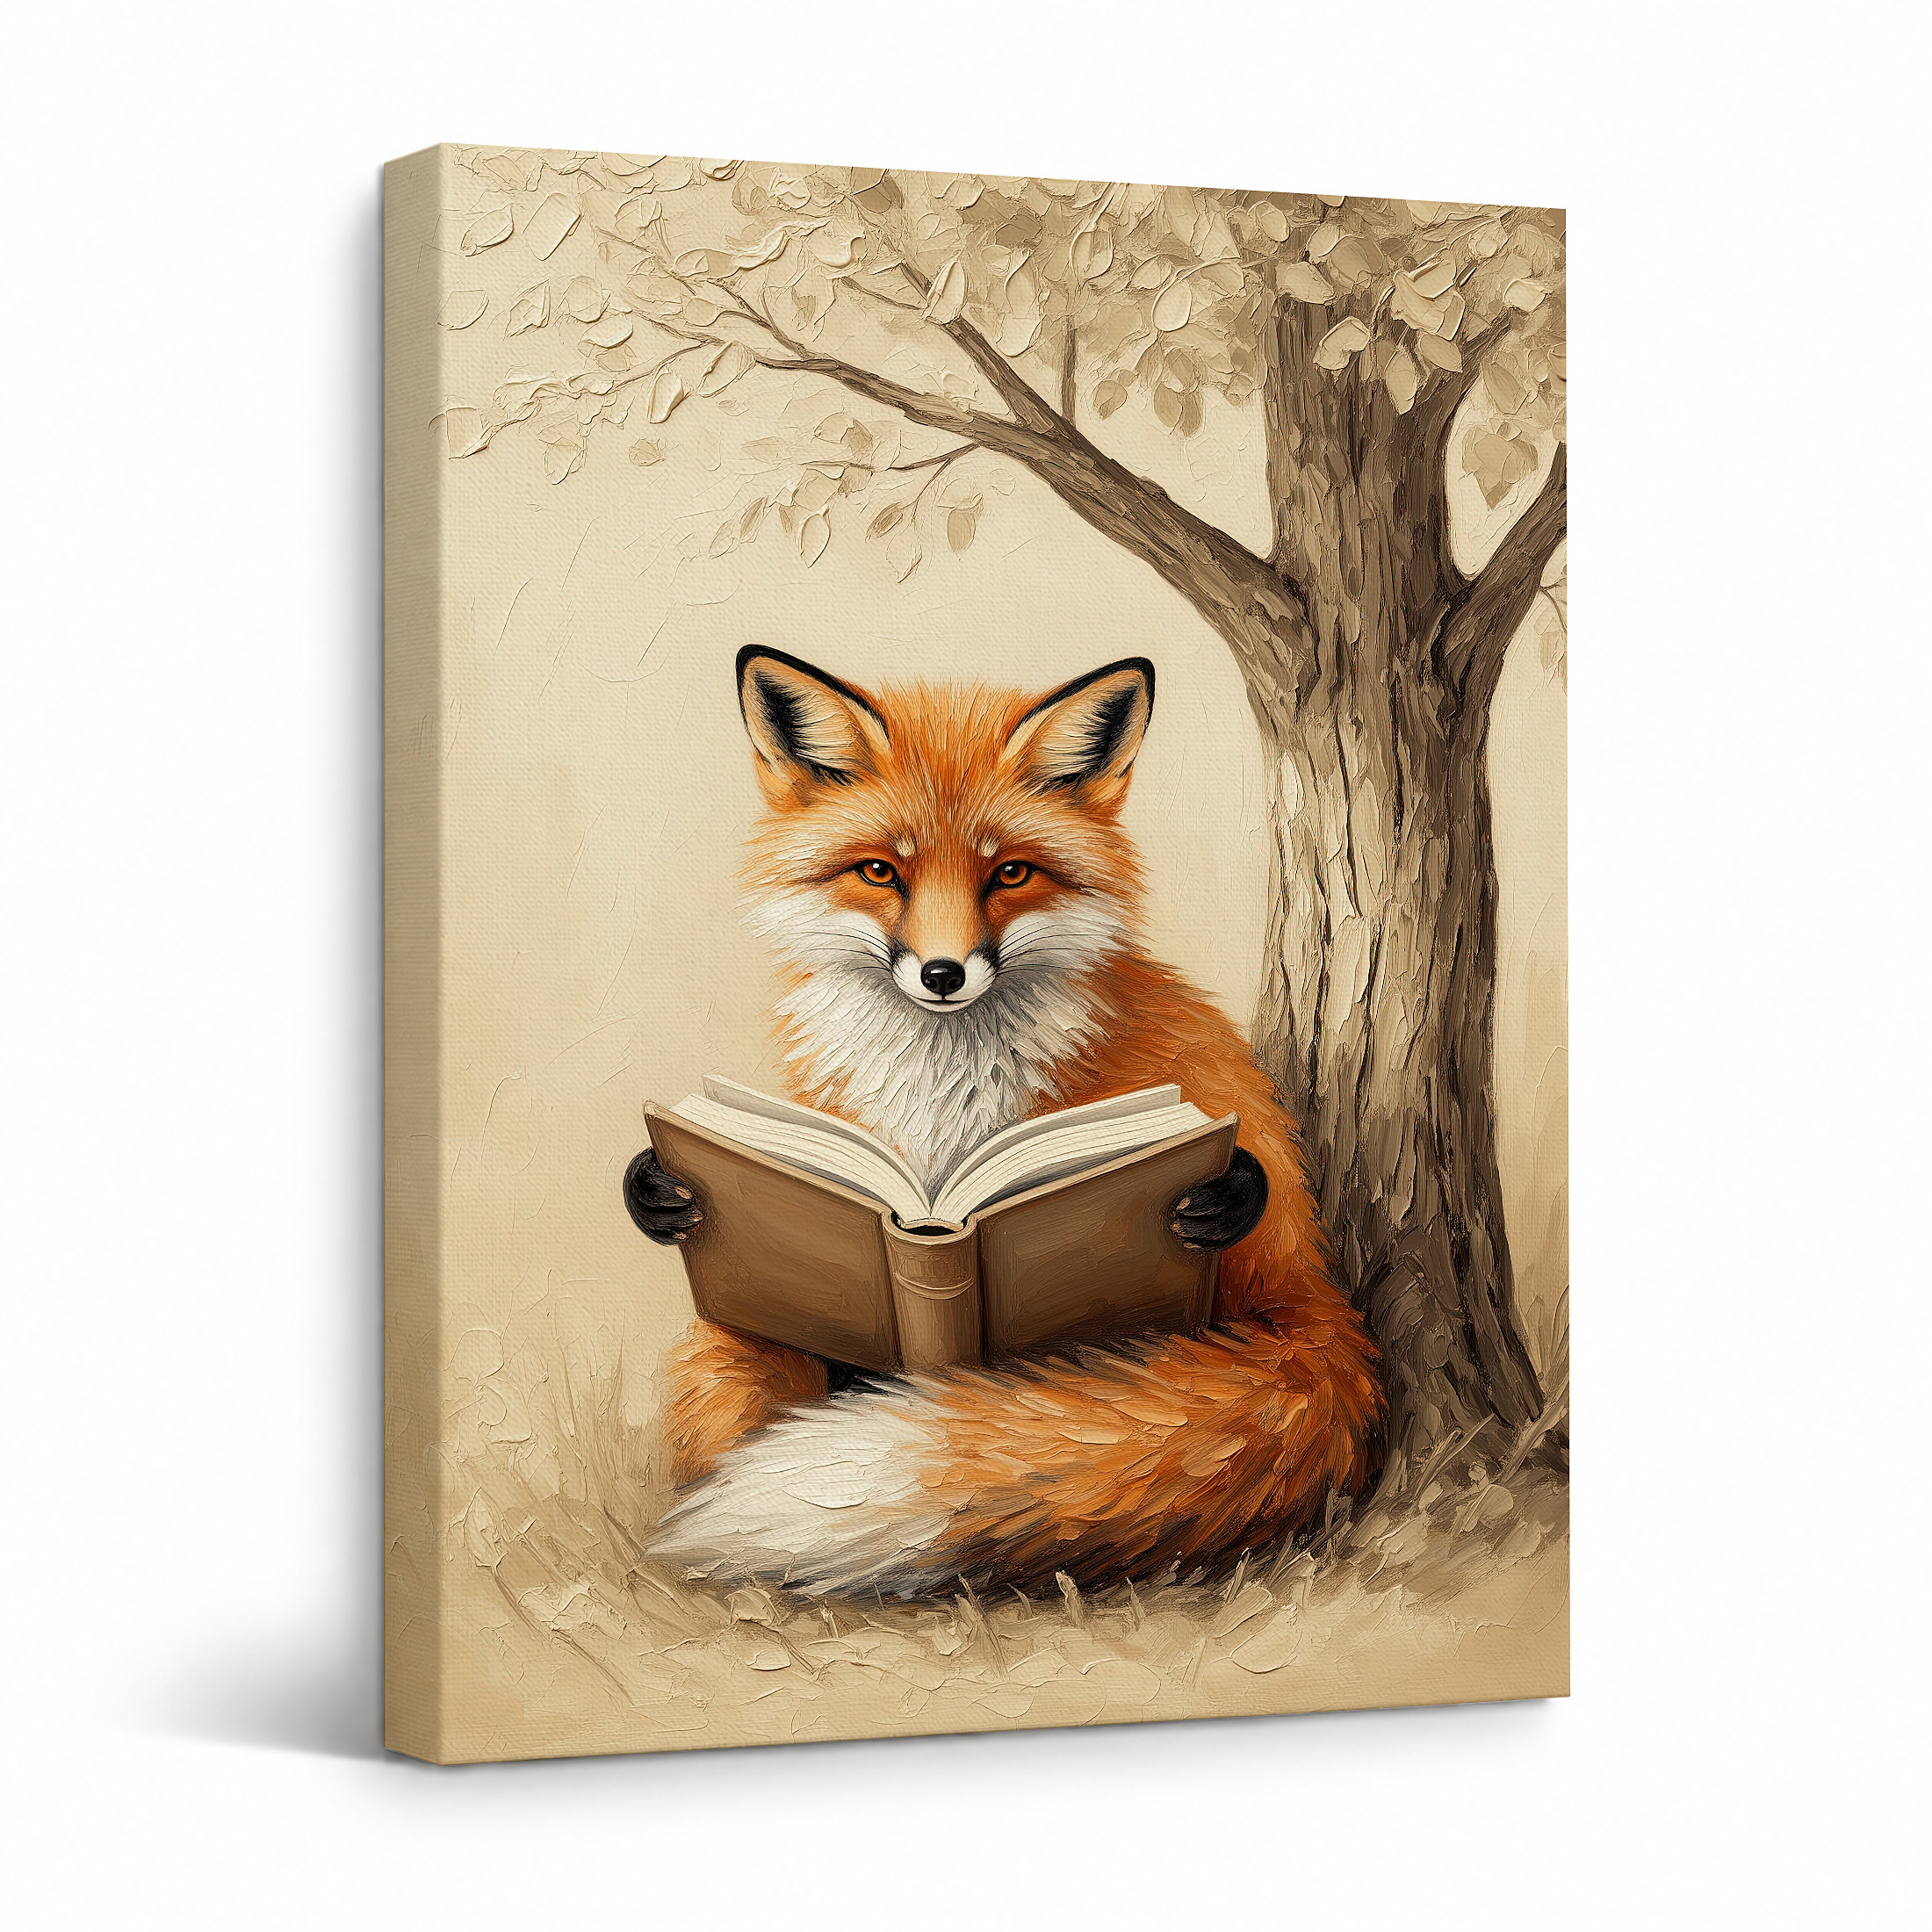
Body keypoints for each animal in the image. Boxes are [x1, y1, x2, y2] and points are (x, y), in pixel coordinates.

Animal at [623, 645, 1383, 1598]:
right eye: (881, 871)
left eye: (1009, 873)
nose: (942, 973)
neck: (942, 1089)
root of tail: (1327, 1317)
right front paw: (656, 1190)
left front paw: (1221, 1193)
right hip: (741, 1335)